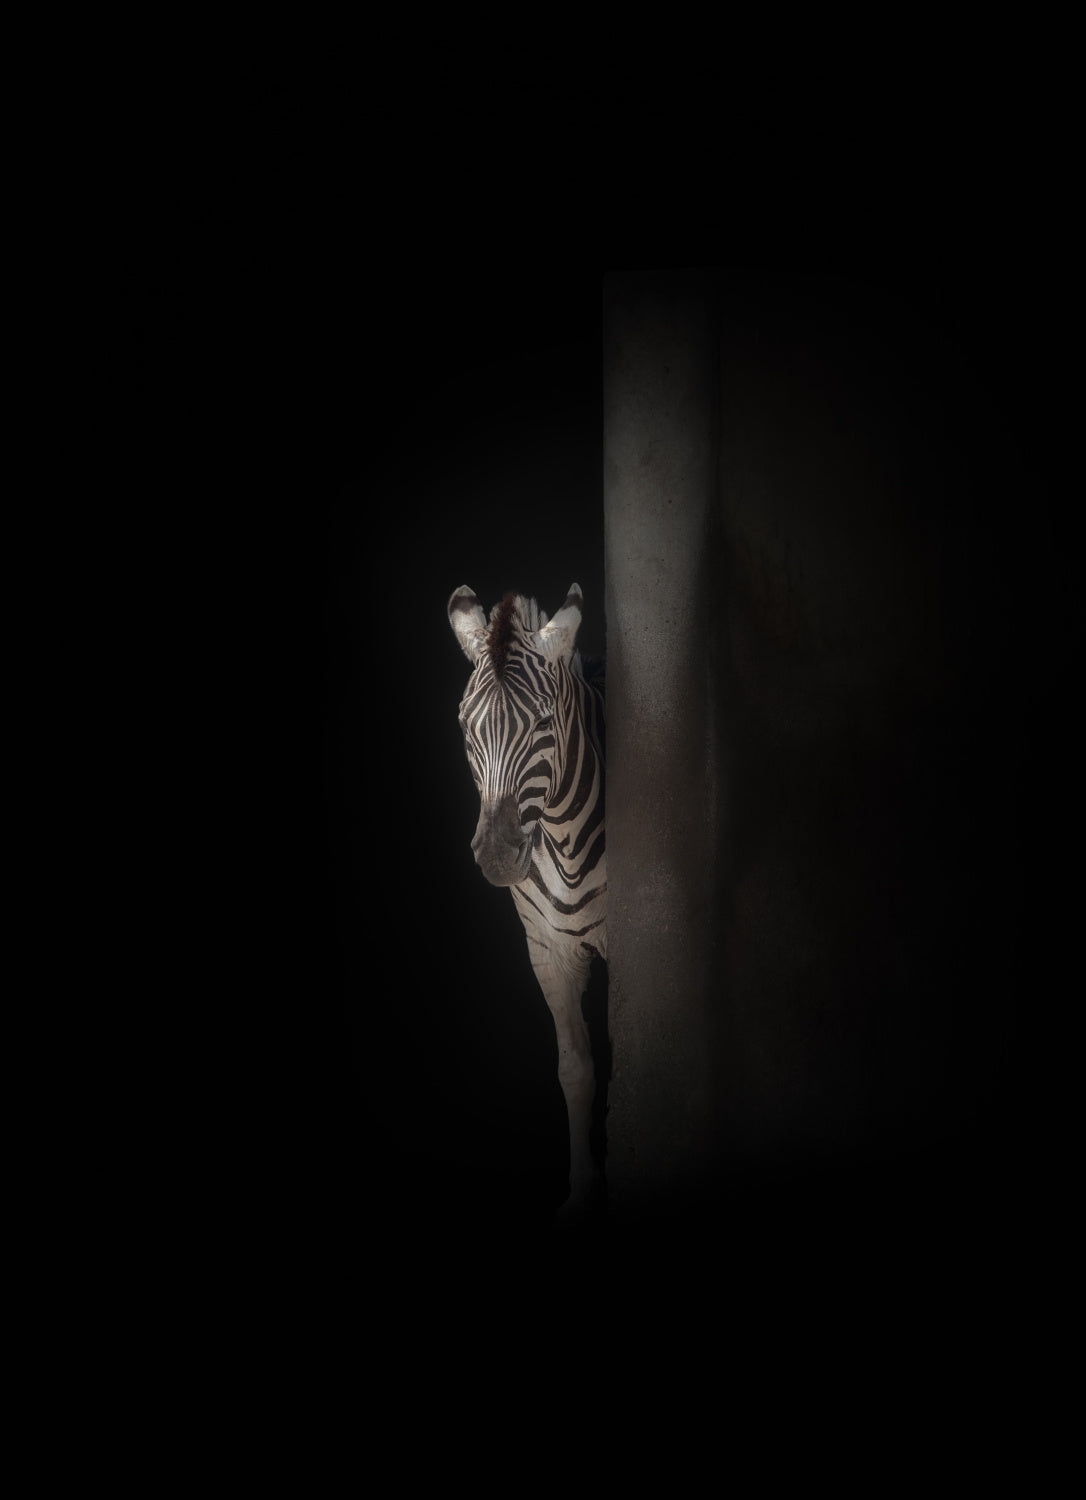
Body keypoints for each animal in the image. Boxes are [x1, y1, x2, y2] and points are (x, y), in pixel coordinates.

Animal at [447, 582, 606, 1214]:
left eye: (542, 723)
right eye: (464, 727)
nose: (496, 856)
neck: (562, 837)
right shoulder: (545, 950)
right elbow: (575, 1069)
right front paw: (581, 1193)